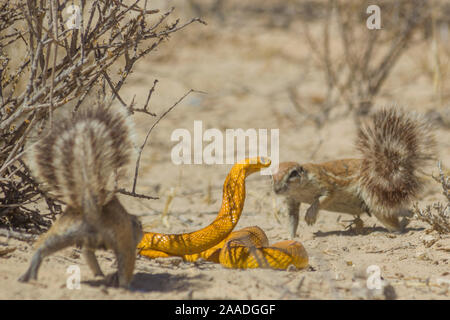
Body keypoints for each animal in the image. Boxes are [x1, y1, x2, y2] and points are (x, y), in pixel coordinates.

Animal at [18, 104, 142, 288]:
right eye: (140, 225)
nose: (141, 234)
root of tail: (91, 207)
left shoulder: (86, 244)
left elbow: (90, 257)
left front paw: (100, 275)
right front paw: (106, 276)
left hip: (67, 231)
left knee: (42, 247)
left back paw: (28, 275)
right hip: (120, 240)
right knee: (126, 262)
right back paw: (125, 286)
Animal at [270, 109, 436, 236]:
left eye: (292, 173)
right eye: (271, 175)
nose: (276, 190)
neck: (300, 190)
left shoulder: (322, 182)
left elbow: (324, 198)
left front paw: (310, 215)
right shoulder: (292, 200)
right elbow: (293, 219)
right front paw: (291, 237)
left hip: (374, 197)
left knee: (391, 220)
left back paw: (396, 230)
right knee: (406, 211)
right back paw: (409, 220)